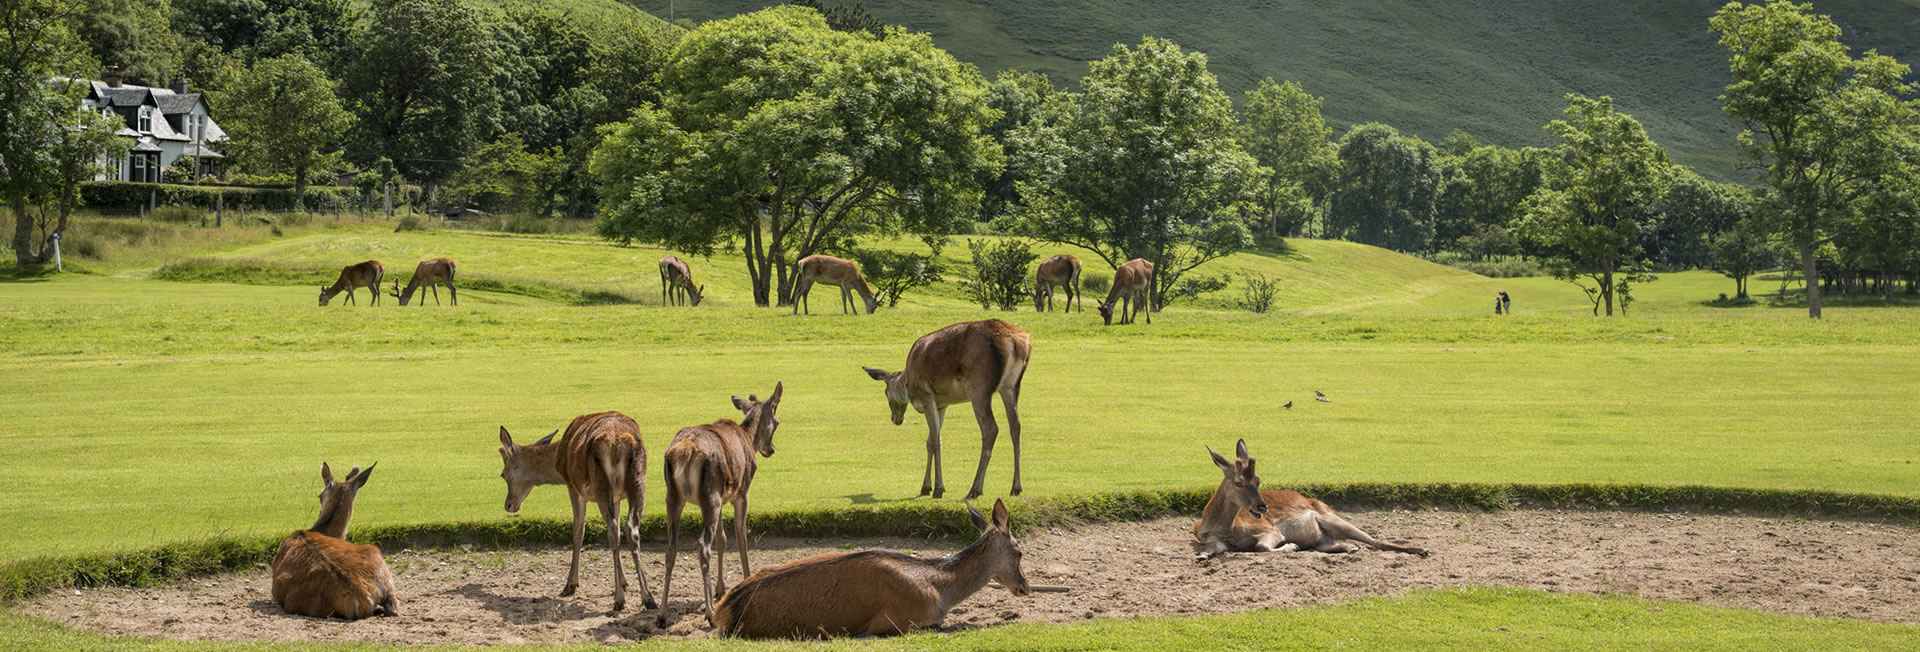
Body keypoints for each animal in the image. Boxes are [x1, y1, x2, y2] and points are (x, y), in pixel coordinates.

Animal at [497, 412, 657, 613]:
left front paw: (570, 585)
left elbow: (578, 531)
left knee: (613, 529)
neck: (558, 458)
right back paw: (648, 598)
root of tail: (616, 441)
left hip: (600, 484)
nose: (508, 505)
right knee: (631, 528)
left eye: (503, 474)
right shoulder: (617, 496)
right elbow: (620, 529)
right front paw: (623, 582)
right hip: (638, 480)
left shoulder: (573, 486)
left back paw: (619, 600)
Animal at [657, 382, 785, 628]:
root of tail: (686, 452)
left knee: (671, 547)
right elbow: (741, 536)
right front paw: (746, 578)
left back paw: (662, 614)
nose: (771, 449)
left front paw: (720, 589)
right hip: (711, 494)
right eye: (776, 422)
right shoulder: (741, 493)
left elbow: (722, 539)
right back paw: (709, 614)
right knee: (702, 545)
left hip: (675, 496)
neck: (749, 438)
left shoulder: (719, 499)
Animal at [863, 319, 1030, 500]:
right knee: (1016, 426)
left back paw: (974, 490)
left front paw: (938, 489)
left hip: (979, 386)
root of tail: (1018, 343)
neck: (909, 383)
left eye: (885, 392)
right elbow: (930, 440)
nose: (895, 419)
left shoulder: (926, 394)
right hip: (1011, 386)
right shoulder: (942, 404)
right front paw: (925, 487)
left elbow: (936, 441)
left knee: (990, 428)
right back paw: (1016, 487)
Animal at [1194, 439, 1429, 562]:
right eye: (1239, 482)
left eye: (1258, 480)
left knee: (1375, 541)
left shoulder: (1270, 530)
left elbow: (1261, 547)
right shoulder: (1211, 539)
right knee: (1325, 546)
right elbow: (1211, 549)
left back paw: (1421, 550)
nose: (1262, 506)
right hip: (1322, 536)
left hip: (1331, 517)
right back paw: (1349, 548)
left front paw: (1292, 546)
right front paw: (1202, 557)